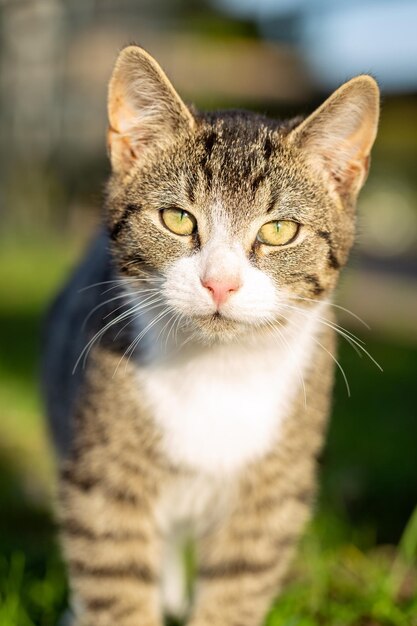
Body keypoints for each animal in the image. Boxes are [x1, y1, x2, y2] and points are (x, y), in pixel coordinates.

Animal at [41, 45, 376, 624]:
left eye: (279, 230)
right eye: (177, 218)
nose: (220, 282)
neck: (216, 369)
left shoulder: (272, 492)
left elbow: (238, 583)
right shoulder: (105, 471)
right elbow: (114, 573)